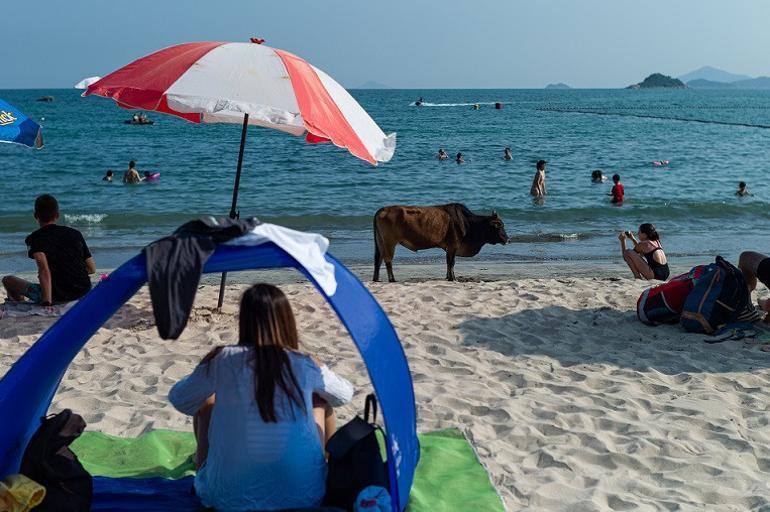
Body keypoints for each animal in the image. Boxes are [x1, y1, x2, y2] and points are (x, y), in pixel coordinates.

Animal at [370, 203, 508, 282]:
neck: (467, 223)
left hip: (380, 243)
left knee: (378, 260)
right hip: (389, 242)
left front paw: (449, 277)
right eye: (499, 226)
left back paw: (376, 279)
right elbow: (451, 263)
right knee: (388, 260)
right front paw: (452, 278)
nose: (507, 239)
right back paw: (392, 279)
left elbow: (449, 263)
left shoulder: (449, 247)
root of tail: (382, 210)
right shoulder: (453, 245)